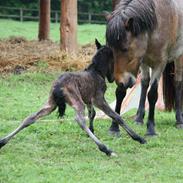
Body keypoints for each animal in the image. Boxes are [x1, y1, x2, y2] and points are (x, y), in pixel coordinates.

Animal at [0, 39, 146, 156]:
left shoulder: (88, 100)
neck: (96, 72)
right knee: (79, 119)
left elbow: (92, 114)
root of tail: (58, 85)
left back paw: (3, 141)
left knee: (30, 118)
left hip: (51, 104)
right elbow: (116, 116)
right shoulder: (98, 100)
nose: (111, 78)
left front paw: (91, 130)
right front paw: (138, 138)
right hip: (76, 101)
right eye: (114, 60)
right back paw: (106, 149)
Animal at [106, 0, 183, 135]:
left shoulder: (159, 63)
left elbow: (152, 94)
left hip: (179, 57)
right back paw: (139, 117)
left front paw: (151, 129)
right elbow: (122, 91)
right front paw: (114, 127)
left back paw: (179, 120)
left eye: (125, 49)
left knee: (178, 83)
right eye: (111, 49)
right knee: (145, 83)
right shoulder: (141, 61)